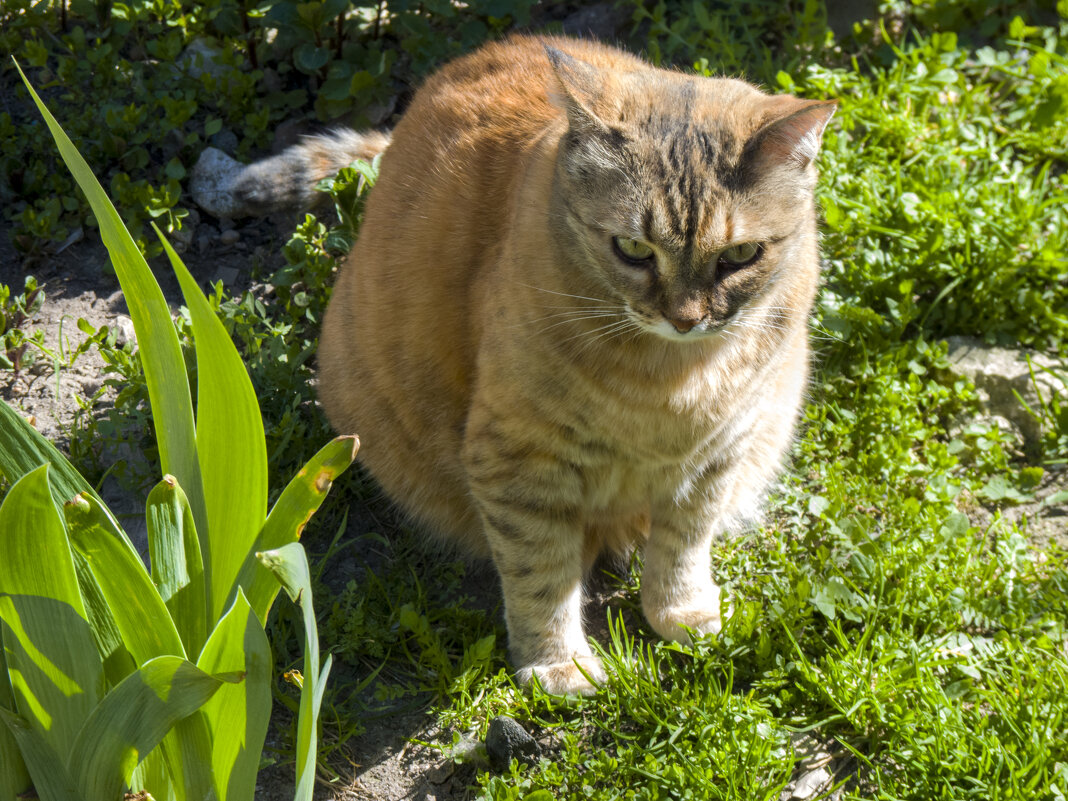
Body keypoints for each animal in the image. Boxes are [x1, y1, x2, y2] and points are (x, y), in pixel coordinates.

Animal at [231, 34, 833, 696]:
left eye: (740, 255)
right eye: (632, 248)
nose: (685, 317)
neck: (671, 383)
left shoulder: (718, 455)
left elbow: (683, 544)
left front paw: (681, 613)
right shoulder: (520, 460)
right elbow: (540, 571)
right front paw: (557, 664)